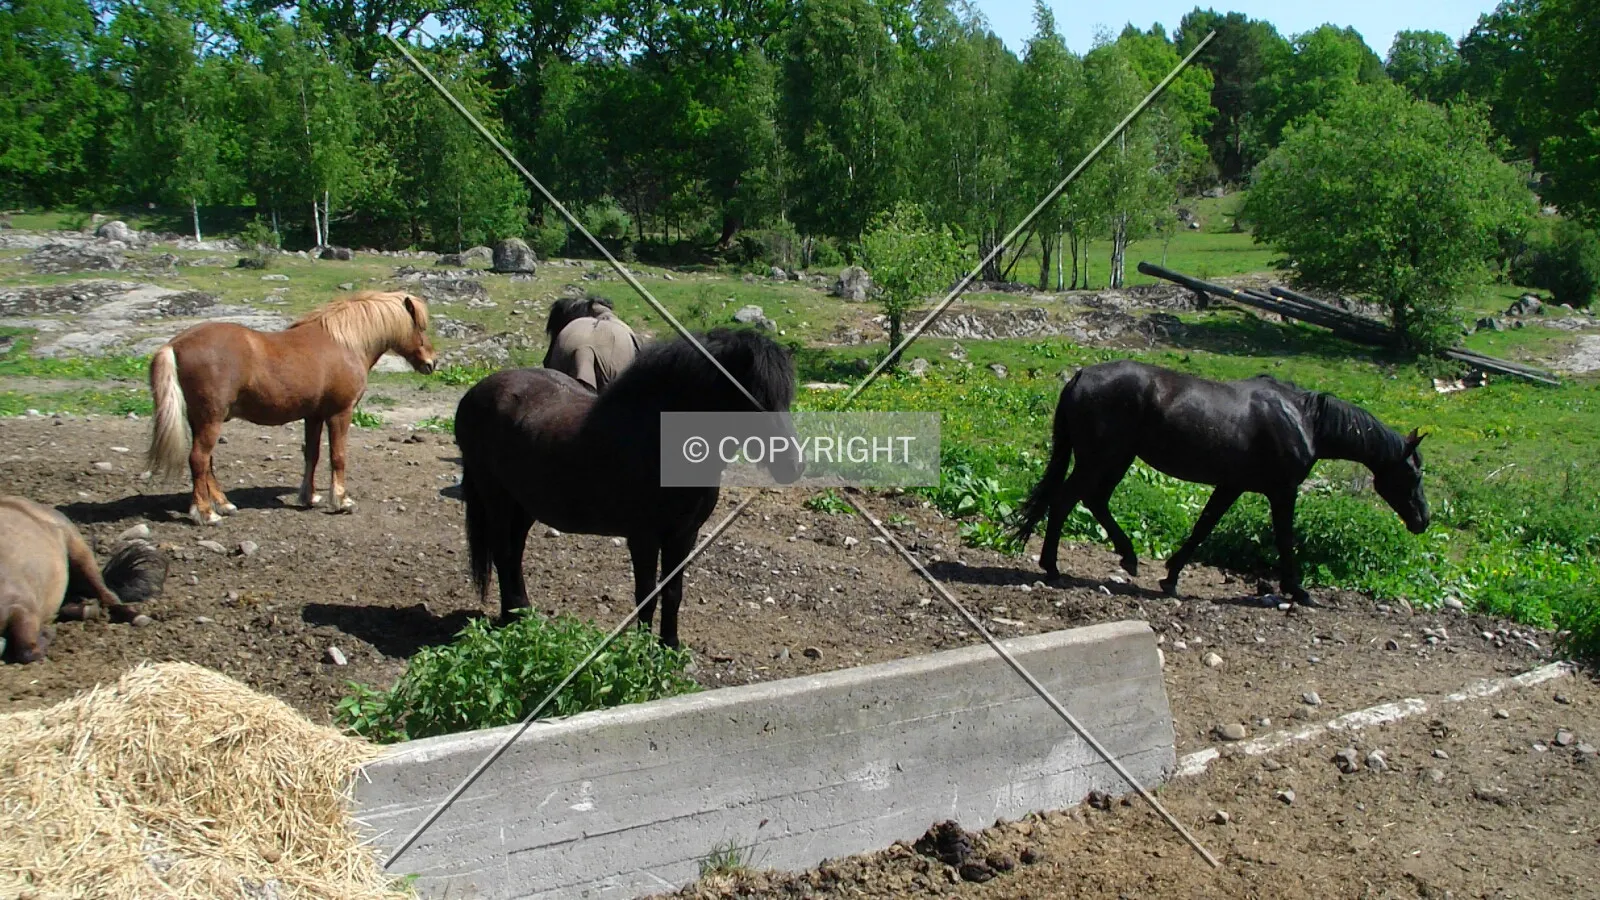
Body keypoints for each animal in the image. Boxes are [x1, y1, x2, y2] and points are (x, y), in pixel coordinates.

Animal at [0, 495, 168, 663]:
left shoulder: (22, 607)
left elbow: (27, 651)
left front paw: (47, 633)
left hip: (80, 553)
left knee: (108, 595)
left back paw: (135, 617)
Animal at [145, 290, 436, 525]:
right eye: (420, 328)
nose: (432, 362)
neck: (345, 343)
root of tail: (174, 345)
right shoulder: (340, 413)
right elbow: (338, 457)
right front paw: (341, 501)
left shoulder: (314, 416)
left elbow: (312, 455)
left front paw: (309, 497)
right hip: (210, 420)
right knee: (198, 460)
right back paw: (206, 513)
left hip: (201, 421)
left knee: (207, 463)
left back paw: (224, 504)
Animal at [454, 327, 802, 648]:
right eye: (755, 397)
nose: (794, 465)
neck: (658, 442)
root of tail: (474, 394)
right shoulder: (644, 537)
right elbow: (646, 592)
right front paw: (641, 652)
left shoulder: (684, 535)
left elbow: (673, 592)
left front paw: (670, 646)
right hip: (496, 499)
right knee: (503, 553)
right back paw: (510, 619)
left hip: (523, 505)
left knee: (514, 553)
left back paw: (522, 614)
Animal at [1013, 360, 1430, 606]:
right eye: (1414, 473)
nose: (1422, 520)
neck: (1303, 419)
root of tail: (1081, 376)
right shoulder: (1282, 491)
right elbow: (1285, 538)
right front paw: (1298, 590)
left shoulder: (1232, 486)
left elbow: (1203, 528)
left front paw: (1170, 576)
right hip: (1103, 459)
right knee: (1067, 500)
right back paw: (1053, 567)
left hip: (1116, 460)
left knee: (1093, 500)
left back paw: (1126, 558)